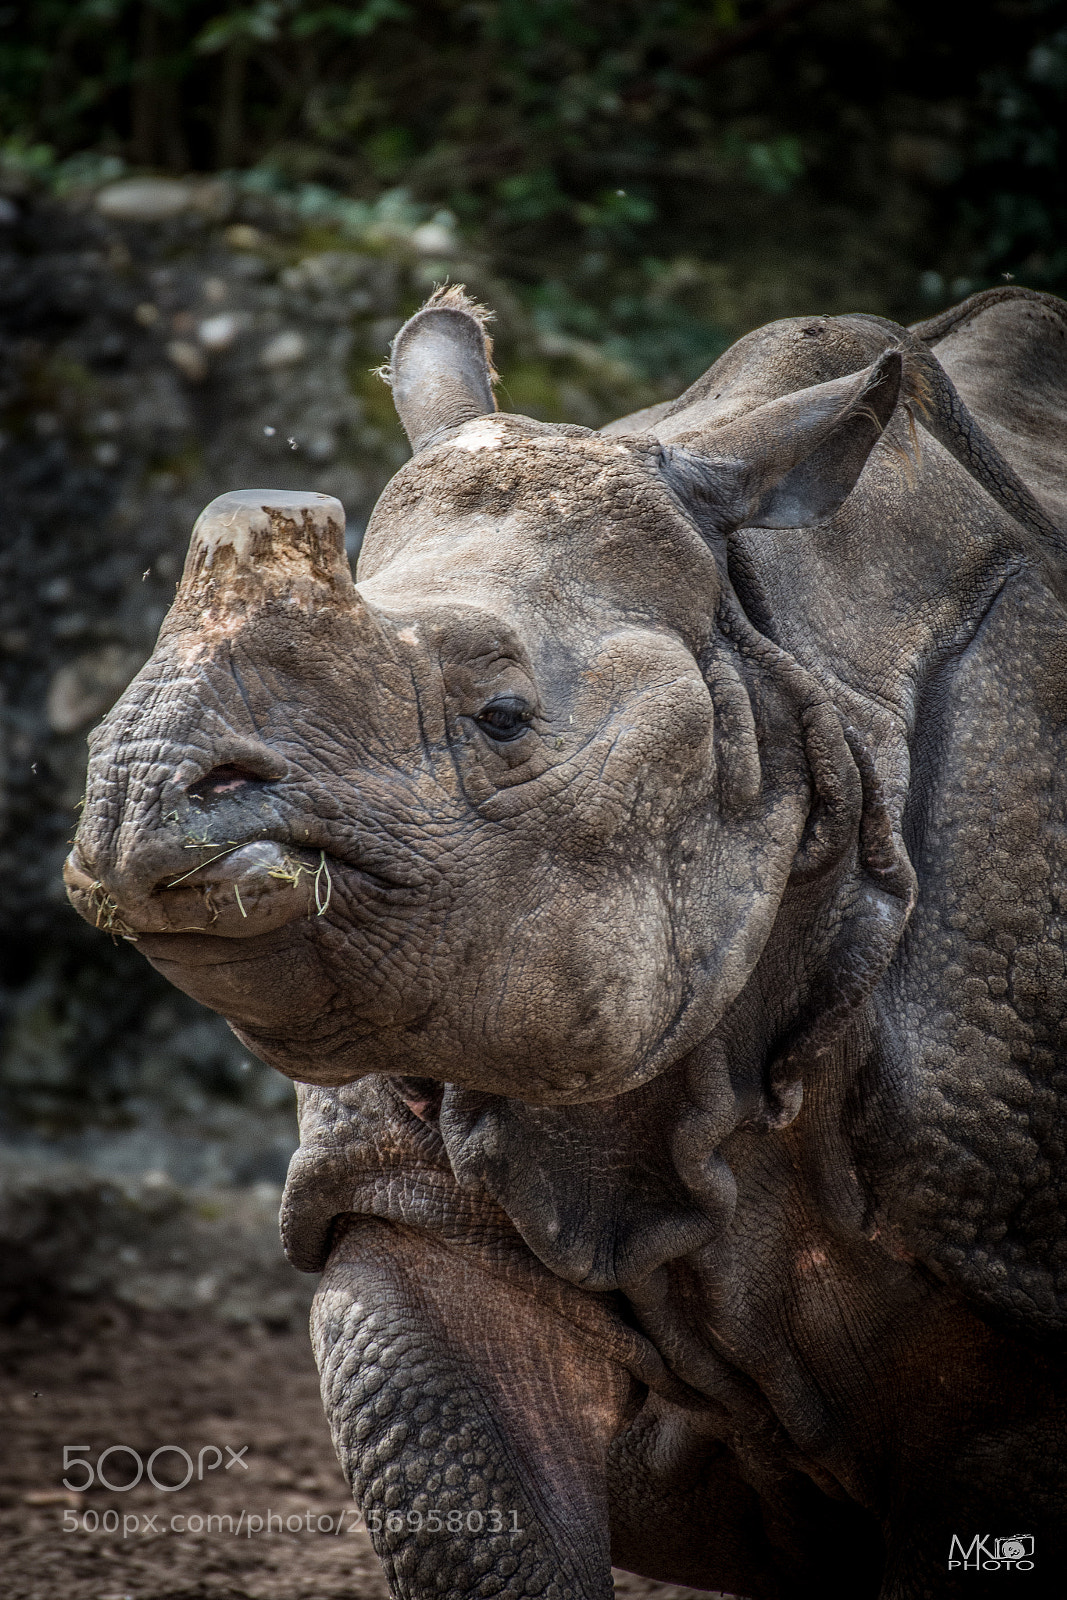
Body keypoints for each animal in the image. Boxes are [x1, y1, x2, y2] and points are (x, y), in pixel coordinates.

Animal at [66, 284, 1067, 1599]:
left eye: (502, 717)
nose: (140, 797)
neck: (774, 682)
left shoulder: (1002, 1269)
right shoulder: (399, 1187)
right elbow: (477, 1519)